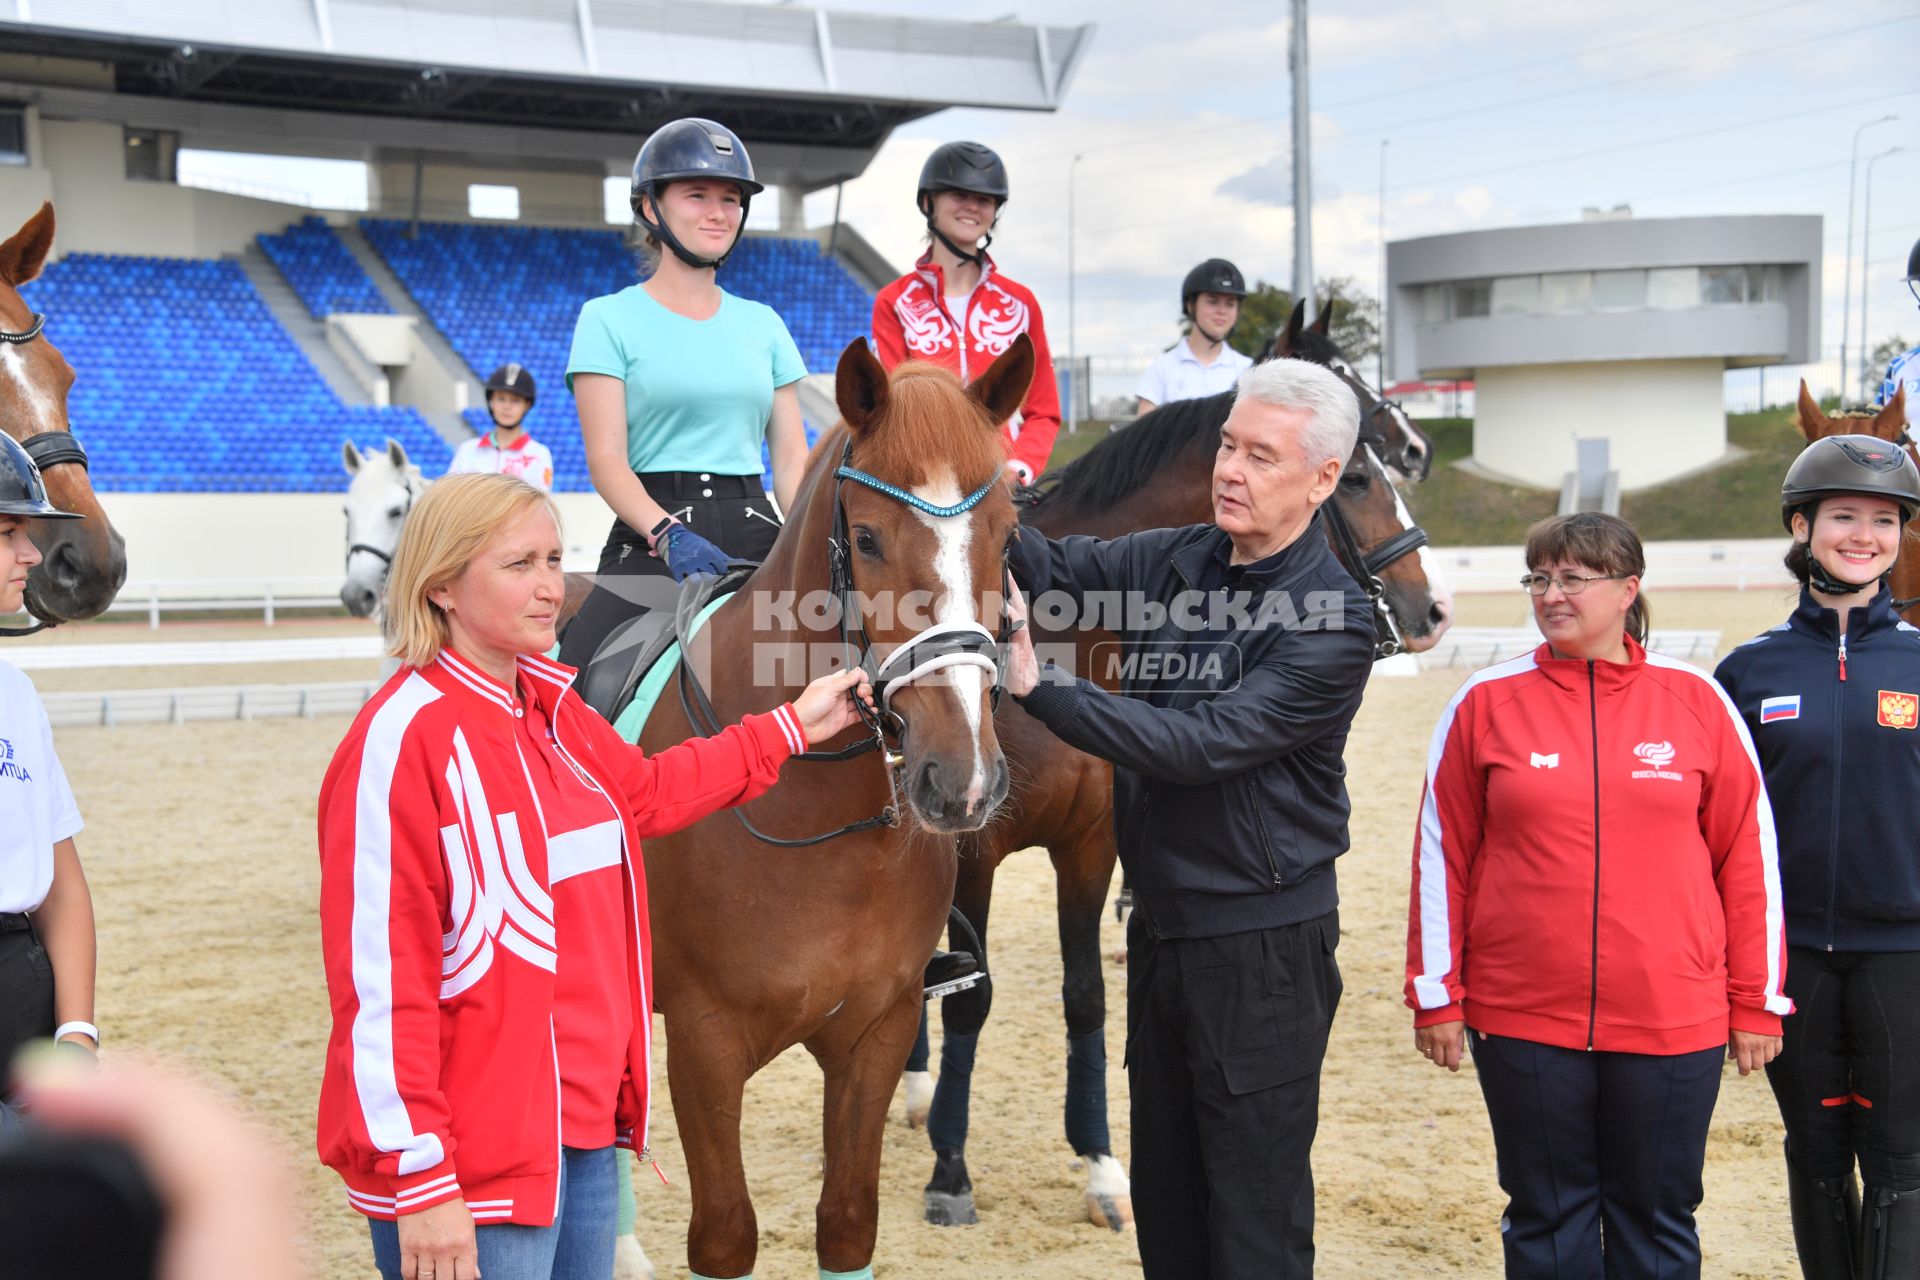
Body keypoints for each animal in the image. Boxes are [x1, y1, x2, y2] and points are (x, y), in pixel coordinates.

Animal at [637, 335, 1036, 1274]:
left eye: (1007, 537)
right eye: (867, 537)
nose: (960, 781)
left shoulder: (877, 1032)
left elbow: (848, 1220)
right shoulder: (703, 1043)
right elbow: (724, 1234)